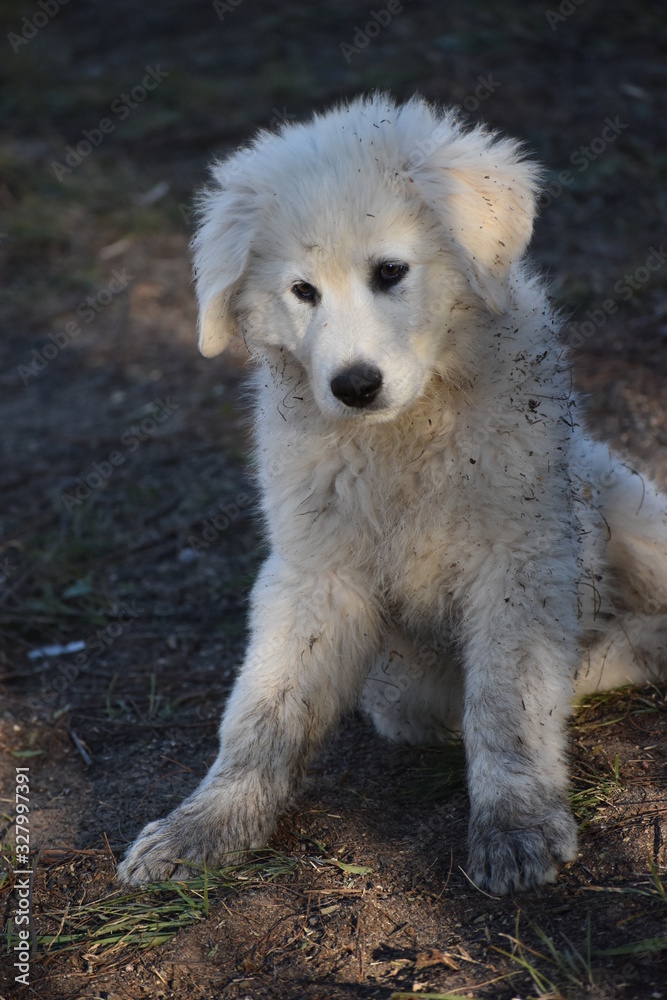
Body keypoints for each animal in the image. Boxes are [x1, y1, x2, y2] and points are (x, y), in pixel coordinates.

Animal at [120, 94, 667, 892]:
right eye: (302, 291)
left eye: (390, 271)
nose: (354, 386)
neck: (404, 440)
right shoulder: (313, 570)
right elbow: (264, 709)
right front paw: (207, 824)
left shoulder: (518, 558)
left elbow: (506, 701)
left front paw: (515, 825)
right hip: (409, 688)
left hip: (628, 513)